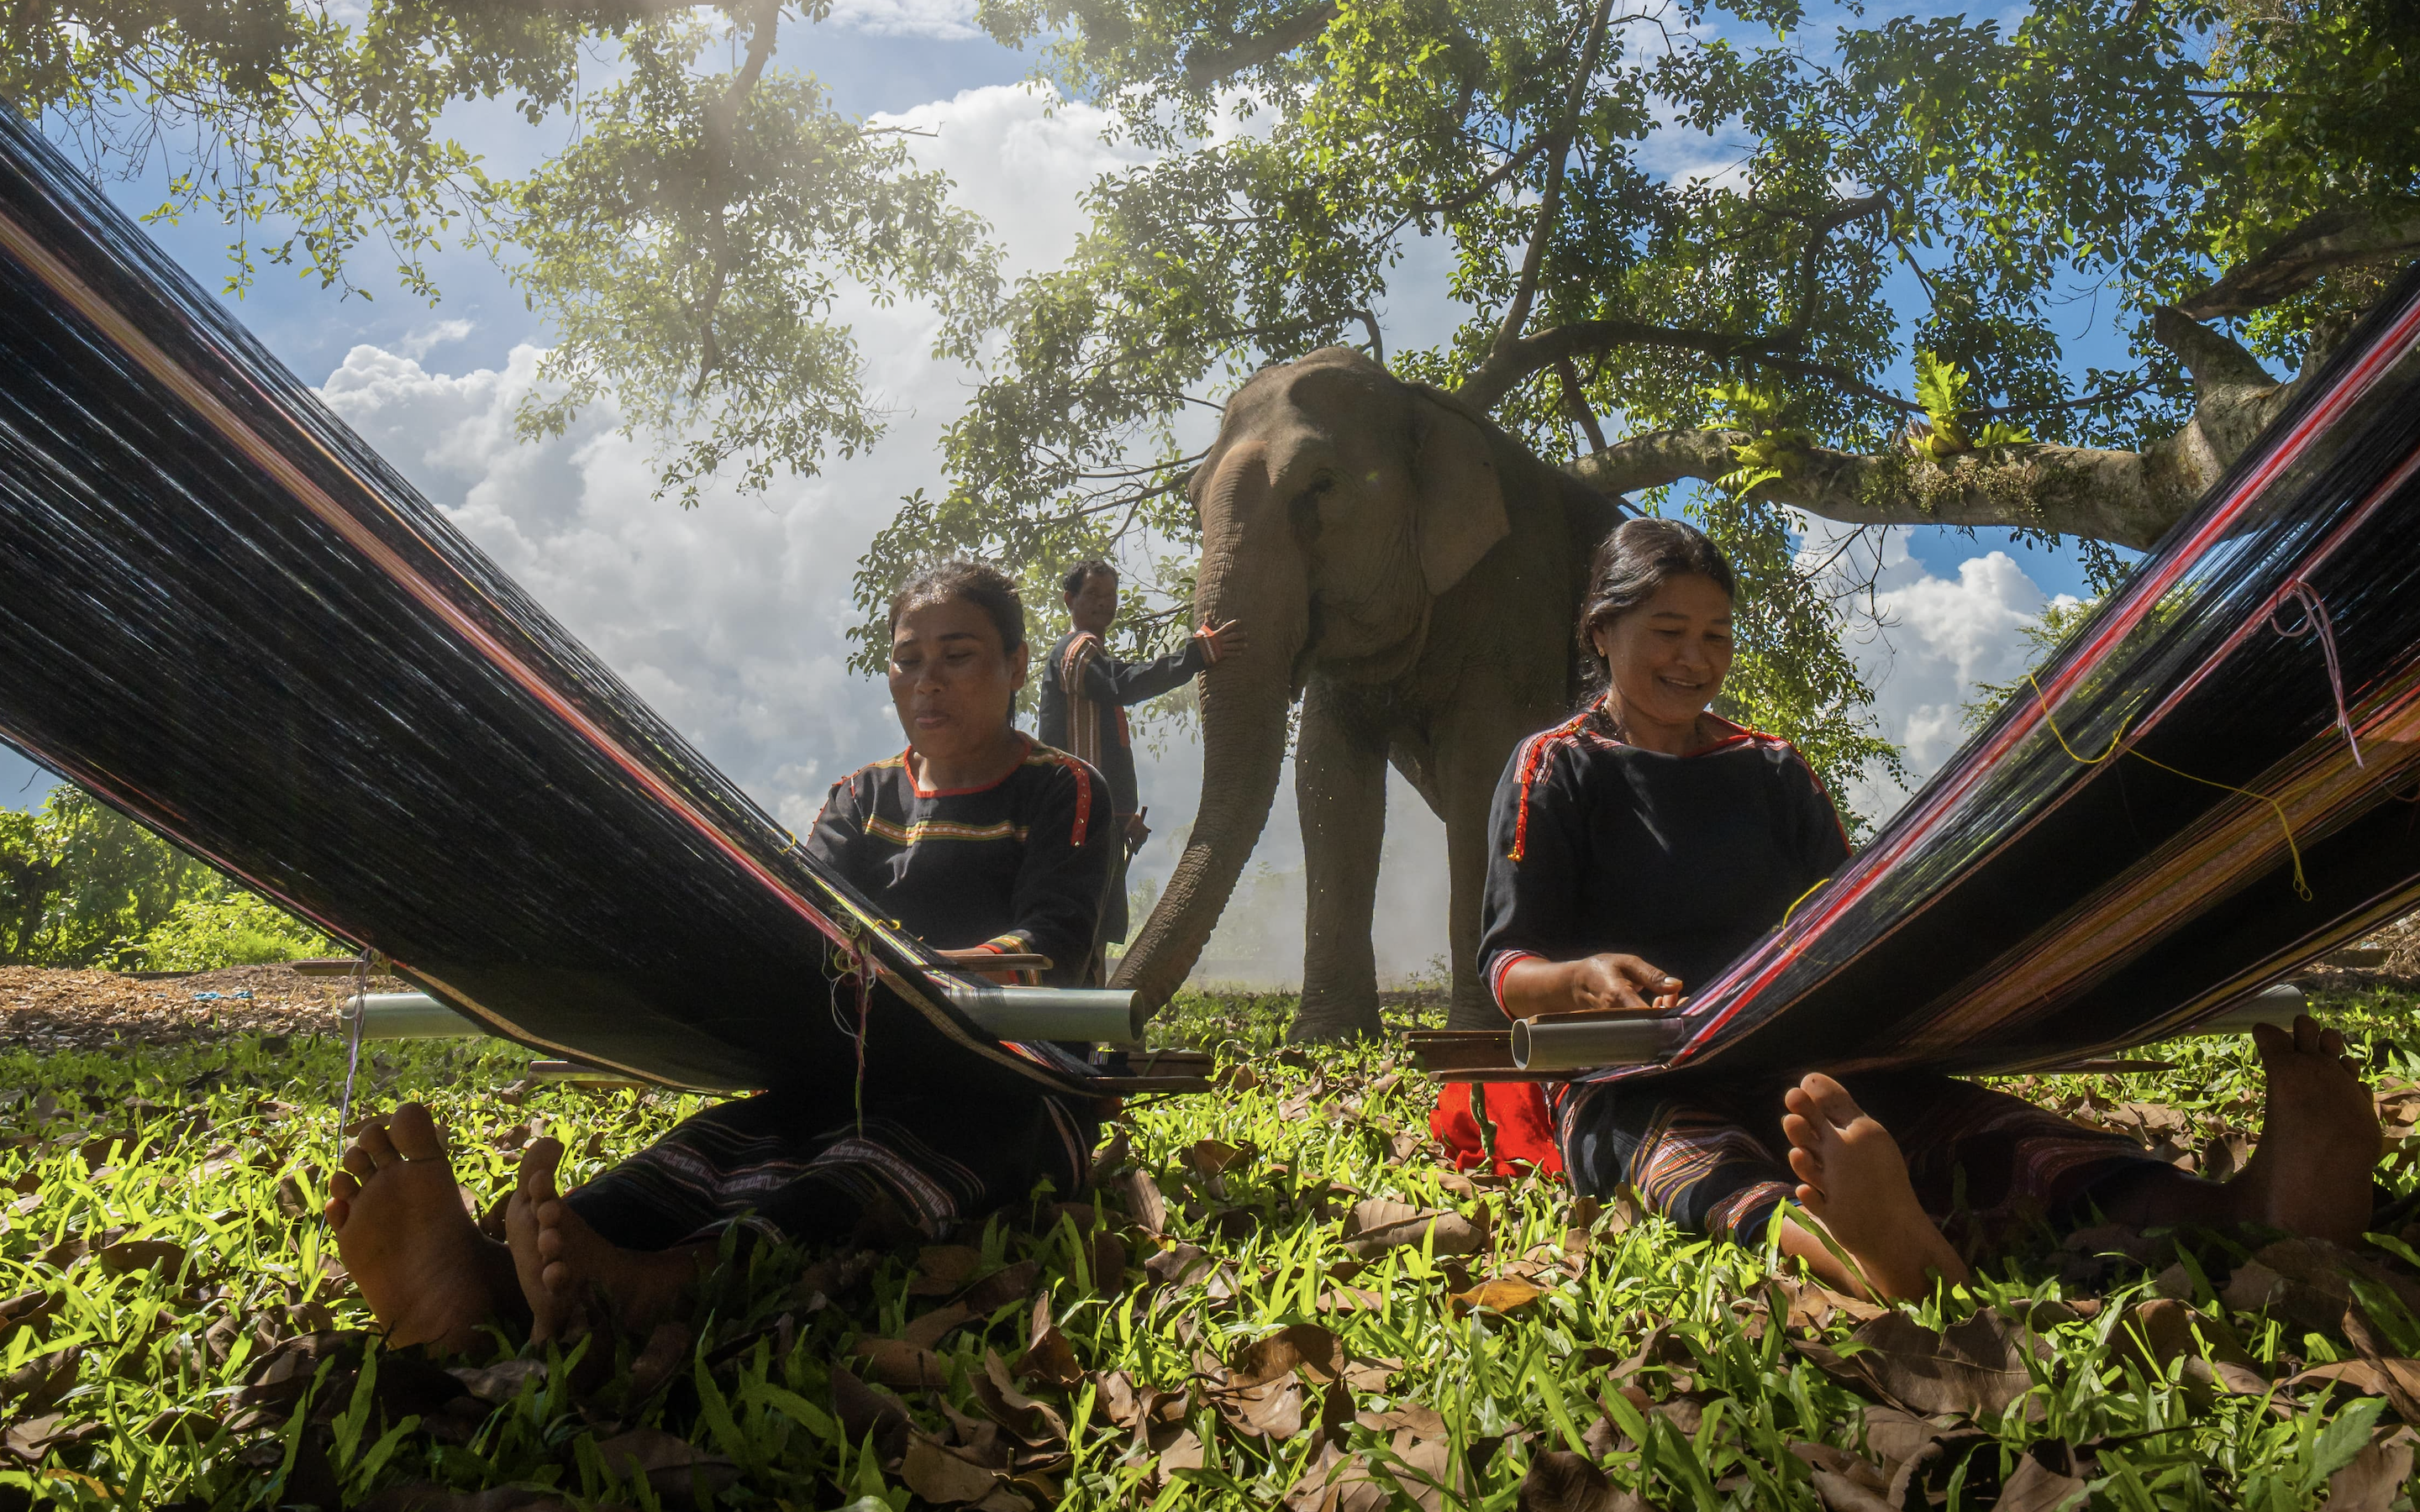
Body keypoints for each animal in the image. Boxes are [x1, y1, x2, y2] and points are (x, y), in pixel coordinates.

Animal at [1113, 343, 1626, 1035]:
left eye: (1322, 487)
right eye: (1192, 501)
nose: (1114, 1014)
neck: (1417, 403)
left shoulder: (1518, 595)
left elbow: (1484, 767)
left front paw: (1476, 1034)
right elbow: (1327, 779)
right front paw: (1324, 1034)